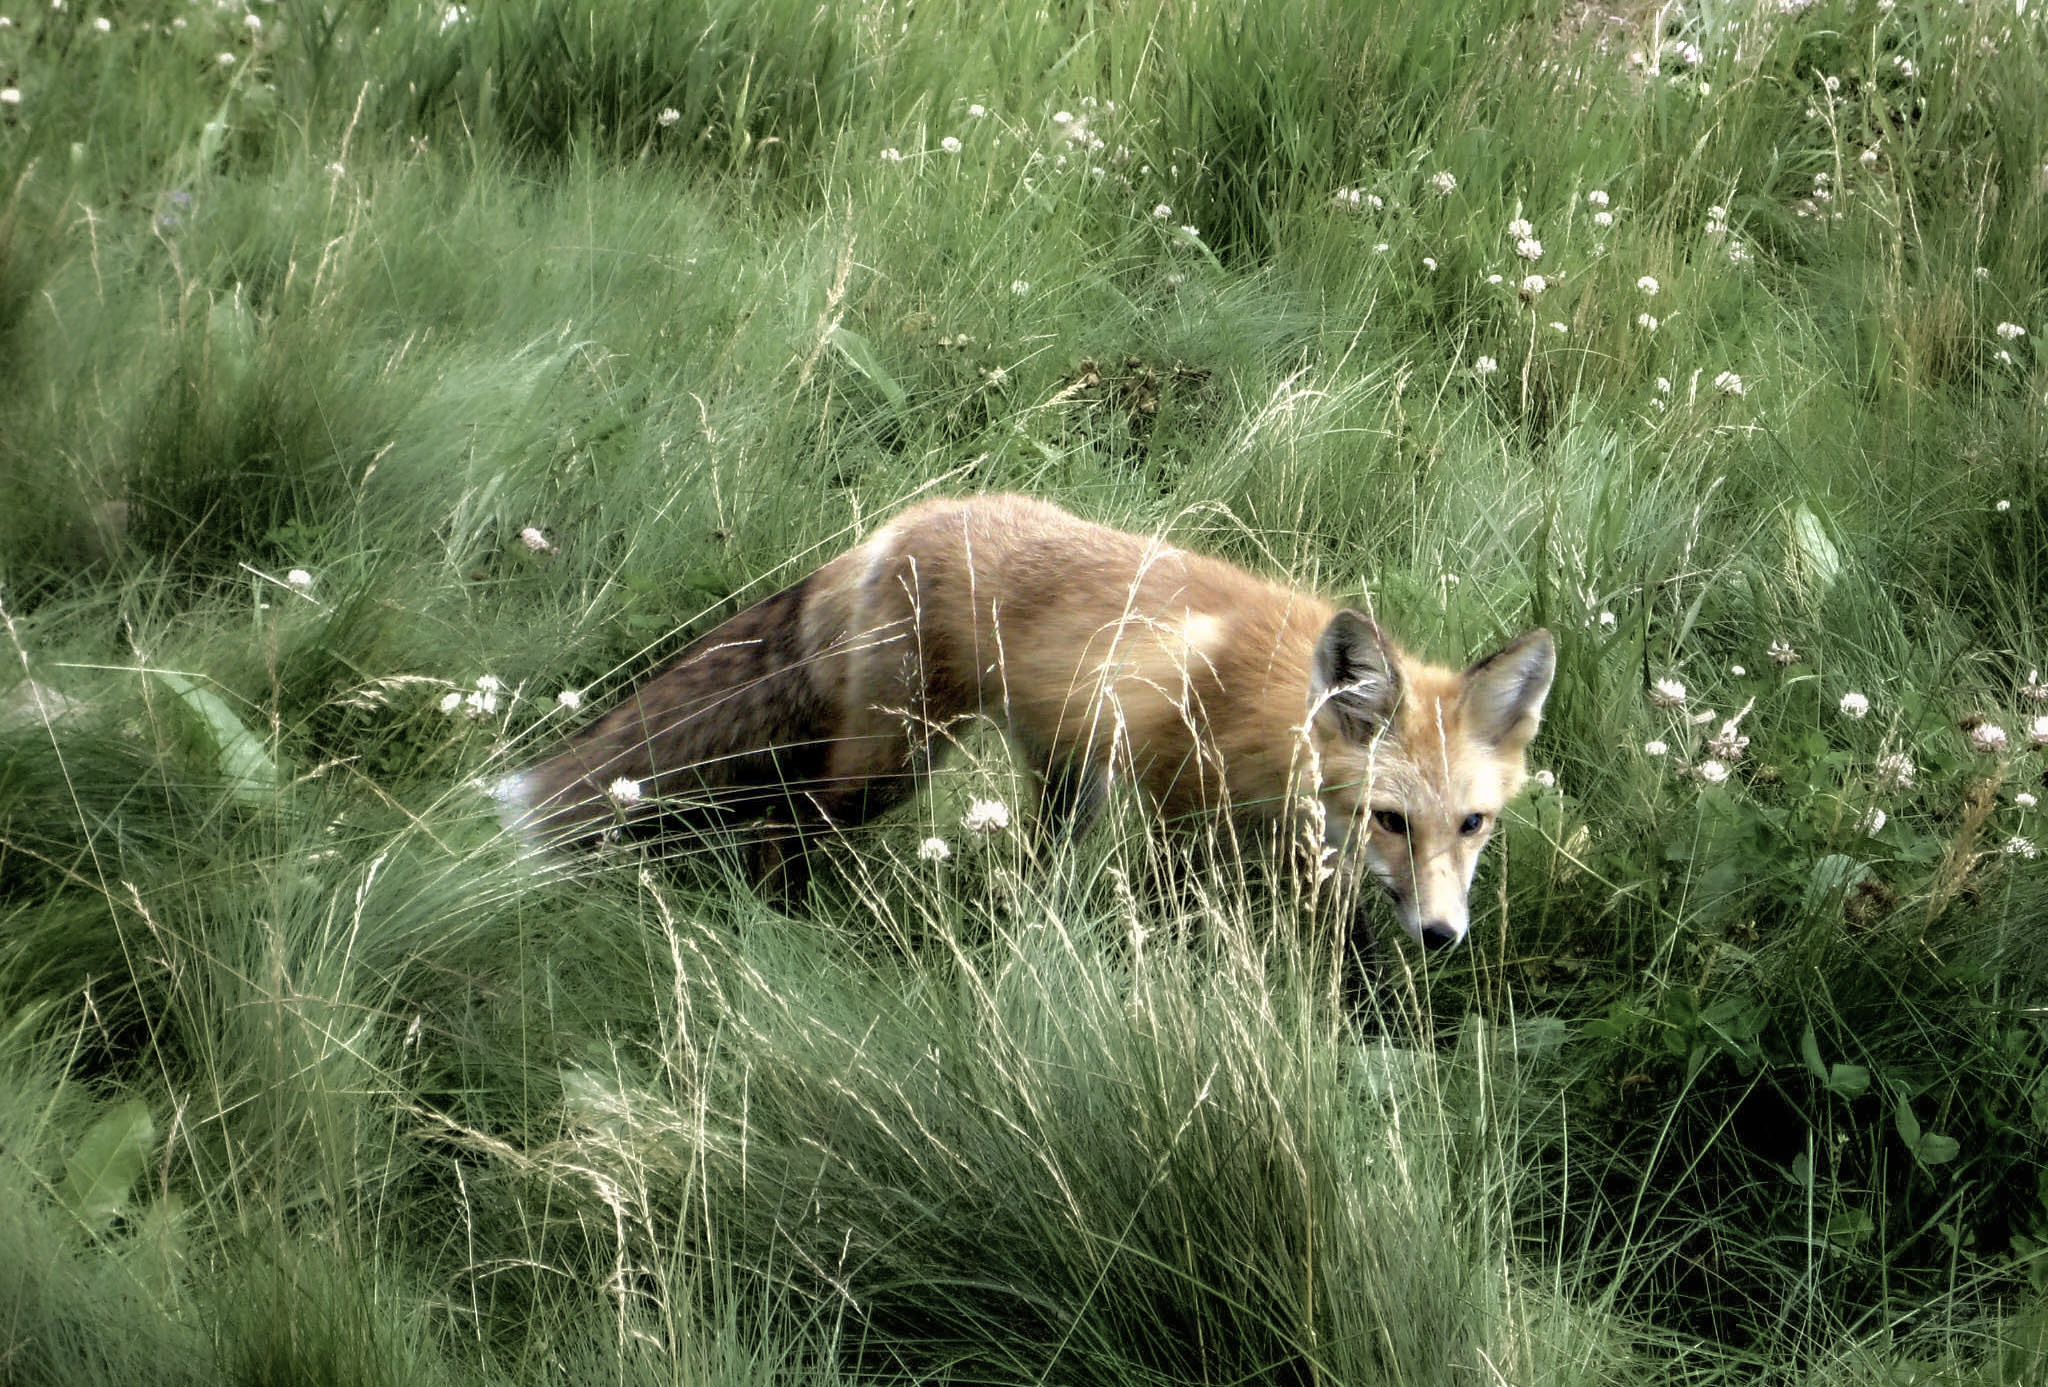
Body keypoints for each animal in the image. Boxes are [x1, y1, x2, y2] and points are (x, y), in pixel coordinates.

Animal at [497, 494, 1555, 951]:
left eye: (1473, 825)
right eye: (1391, 819)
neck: (1272, 715)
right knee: (777, 823)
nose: (1441, 936)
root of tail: (893, 526)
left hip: (1061, 781)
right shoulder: (1171, 808)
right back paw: (781, 923)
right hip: (891, 765)